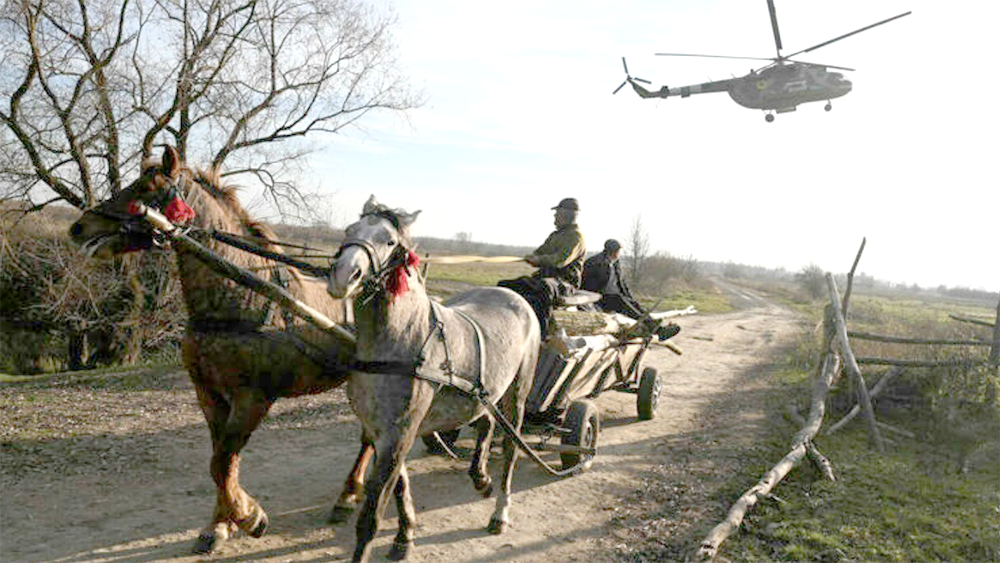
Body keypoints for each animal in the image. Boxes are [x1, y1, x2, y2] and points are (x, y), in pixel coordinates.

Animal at [68, 146, 372, 553]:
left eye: (146, 189)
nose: (79, 227)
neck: (241, 296)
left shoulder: (253, 397)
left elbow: (223, 461)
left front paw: (250, 517)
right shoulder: (209, 393)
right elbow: (221, 462)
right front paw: (220, 525)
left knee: (371, 435)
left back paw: (348, 495)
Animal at [327, 196, 541, 563]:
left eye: (389, 241)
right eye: (349, 230)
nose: (343, 275)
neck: (401, 341)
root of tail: (517, 299)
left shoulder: (398, 433)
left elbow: (371, 516)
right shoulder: (383, 431)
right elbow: (401, 486)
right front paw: (405, 536)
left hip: (517, 396)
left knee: (511, 447)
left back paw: (500, 511)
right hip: (478, 396)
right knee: (486, 422)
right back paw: (480, 478)